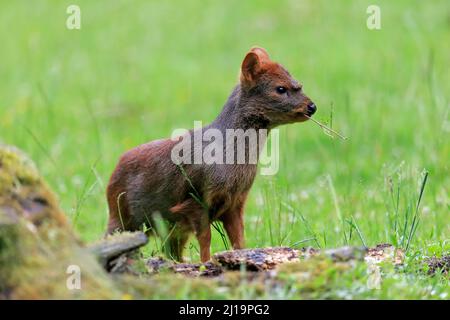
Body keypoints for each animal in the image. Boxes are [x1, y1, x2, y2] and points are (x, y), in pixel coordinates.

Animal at [105, 47, 316, 262]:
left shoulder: (236, 202)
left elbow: (239, 239)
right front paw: (206, 263)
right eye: (280, 88)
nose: (312, 107)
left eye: (299, 84)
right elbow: (206, 239)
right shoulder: (196, 198)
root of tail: (114, 171)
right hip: (121, 215)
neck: (230, 162)